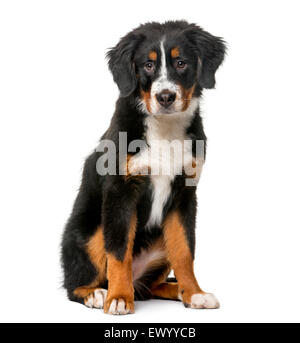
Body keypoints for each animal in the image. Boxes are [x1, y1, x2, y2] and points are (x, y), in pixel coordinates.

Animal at [60, 20, 225, 316]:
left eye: (181, 63)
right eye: (147, 65)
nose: (165, 96)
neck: (165, 130)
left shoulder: (185, 193)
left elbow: (185, 251)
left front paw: (194, 293)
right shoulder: (121, 190)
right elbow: (118, 252)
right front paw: (118, 298)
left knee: (151, 287)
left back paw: (176, 290)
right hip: (91, 230)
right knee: (75, 284)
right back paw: (98, 293)